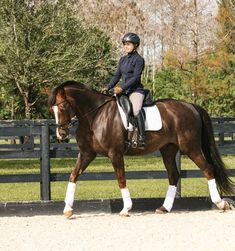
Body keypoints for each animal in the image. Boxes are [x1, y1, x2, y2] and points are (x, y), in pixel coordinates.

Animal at [48, 81, 234, 218]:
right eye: (52, 109)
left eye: (62, 106)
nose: (61, 134)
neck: (94, 116)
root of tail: (191, 106)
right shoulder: (87, 154)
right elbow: (73, 176)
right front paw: (67, 209)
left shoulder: (115, 154)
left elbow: (121, 179)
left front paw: (126, 209)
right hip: (168, 150)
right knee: (174, 175)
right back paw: (164, 208)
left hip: (191, 147)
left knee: (208, 169)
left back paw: (221, 203)